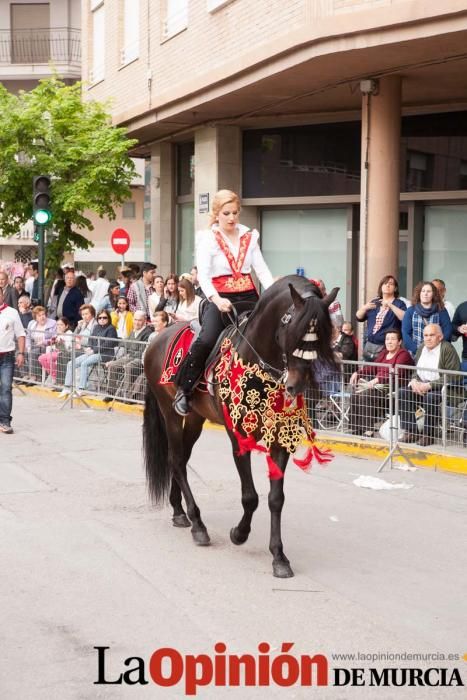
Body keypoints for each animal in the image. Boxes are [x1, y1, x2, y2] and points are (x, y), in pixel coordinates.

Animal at [144, 276, 338, 576]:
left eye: (321, 335)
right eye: (292, 327)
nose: (296, 386)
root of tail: (157, 338)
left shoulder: (281, 437)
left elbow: (276, 498)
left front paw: (279, 556)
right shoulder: (238, 436)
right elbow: (250, 496)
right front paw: (239, 533)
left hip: (197, 418)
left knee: (181, 460)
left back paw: (179, 512)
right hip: (170, 413)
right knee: (175, 460)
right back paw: (198, 525)